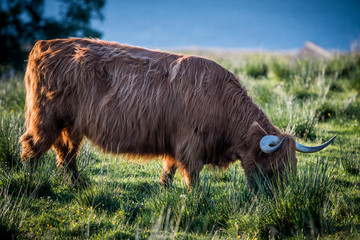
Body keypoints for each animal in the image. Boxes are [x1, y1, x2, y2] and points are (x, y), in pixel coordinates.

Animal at [19, 38, 334, 188]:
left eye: (294, 164)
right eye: (277, 166)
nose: (286, 194)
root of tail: (44, 45)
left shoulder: (175, 143)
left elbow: (169, 166)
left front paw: (164, 186)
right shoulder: (190, 144)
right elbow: (192, 174)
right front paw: (195, 196)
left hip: (71, 125)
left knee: (67, 153)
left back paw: (78, 183)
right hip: (45, 117)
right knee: (32, 147)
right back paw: (28, 182)